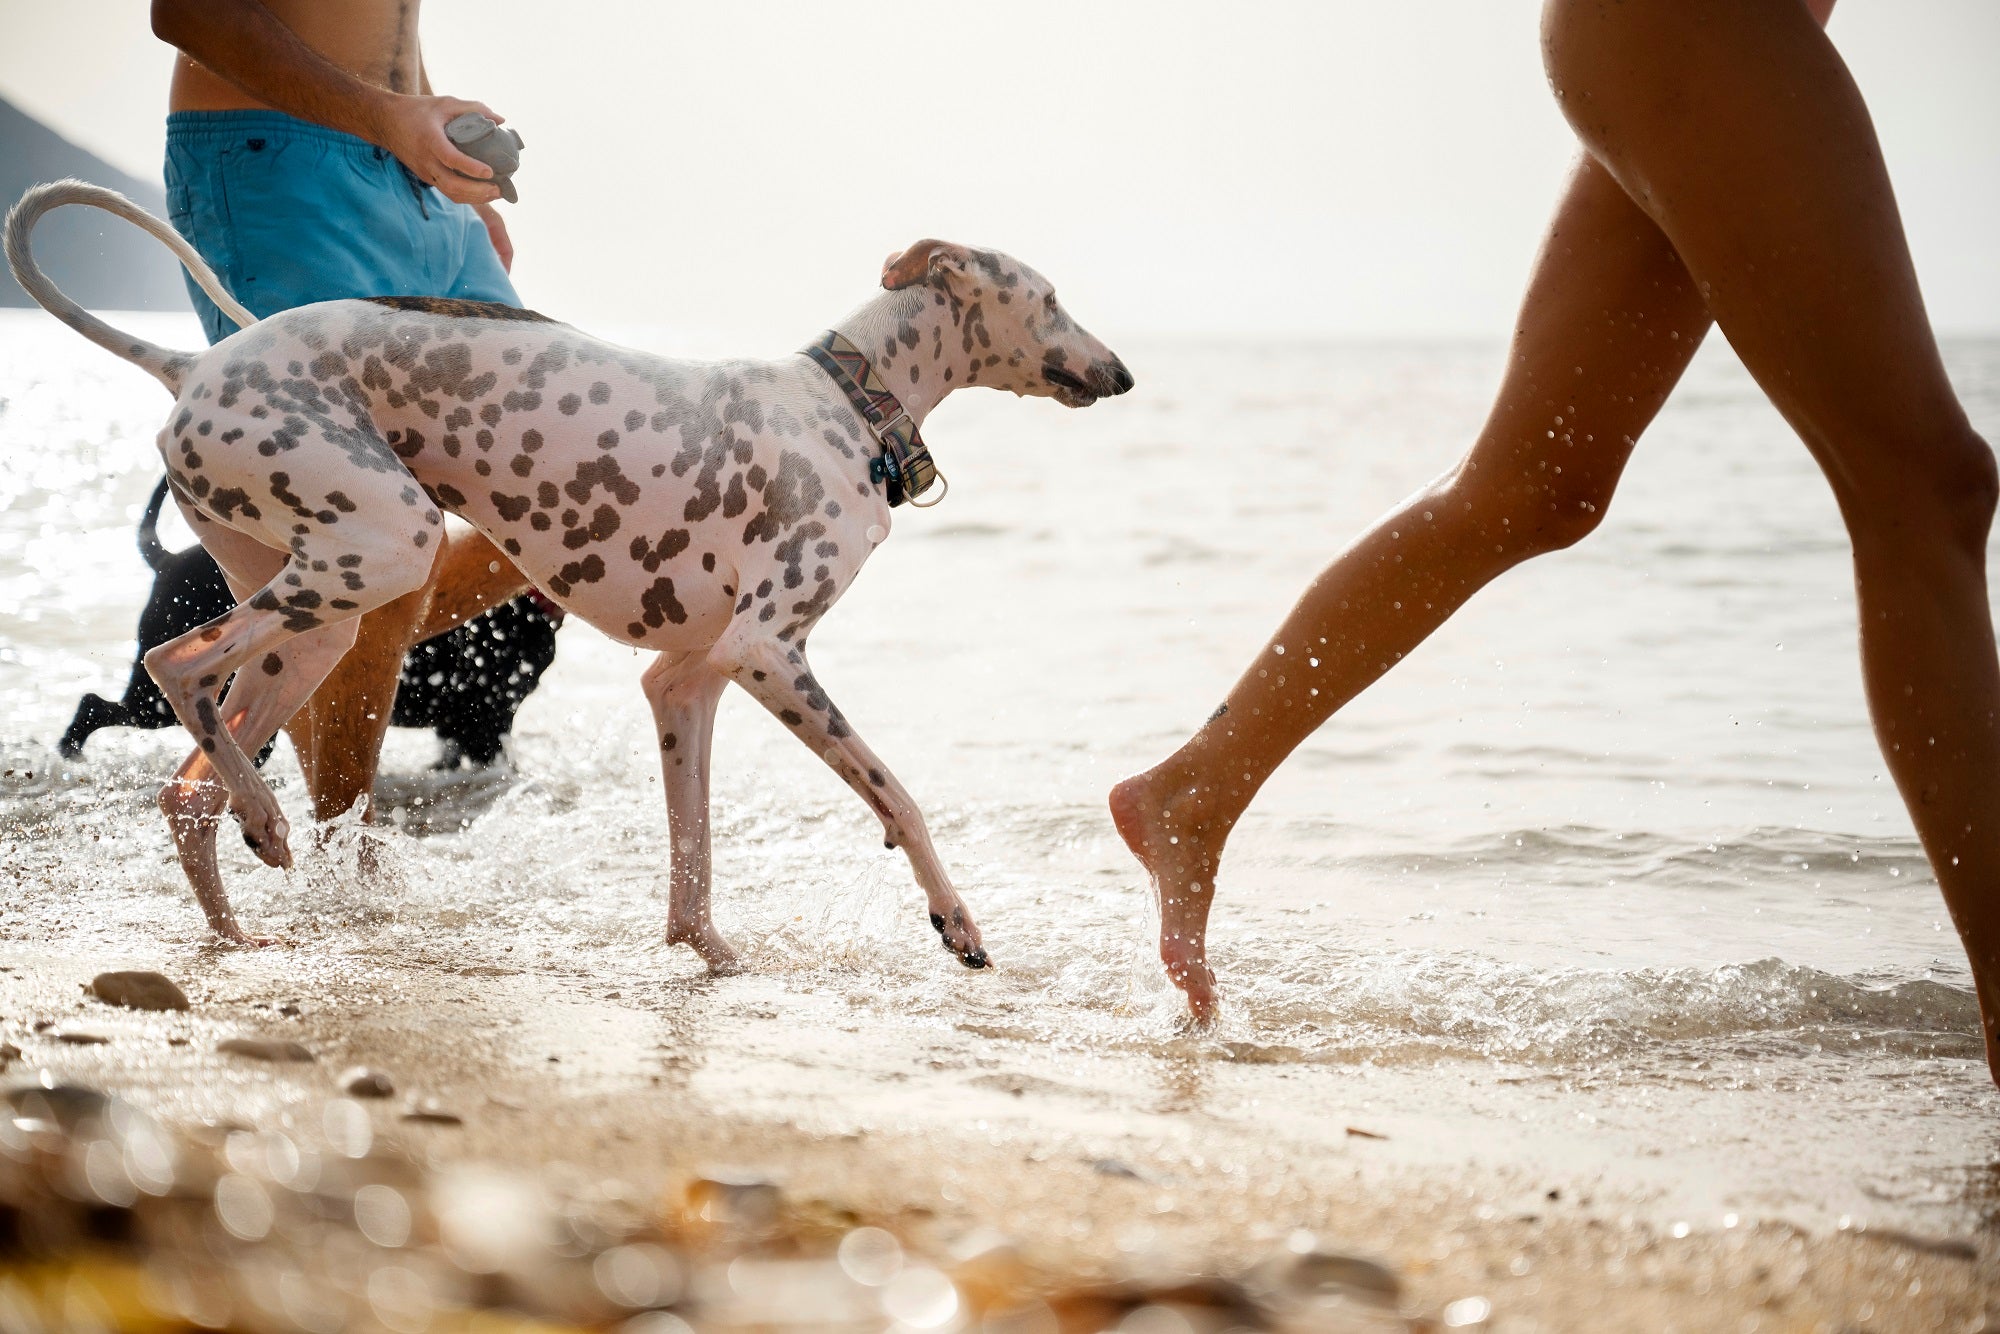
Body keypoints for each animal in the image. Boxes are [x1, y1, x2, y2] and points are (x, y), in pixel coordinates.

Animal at [61, 482, 560, 772]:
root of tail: (166, 562)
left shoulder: (467, 727)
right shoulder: (485, 719)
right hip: (157, 700)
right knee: (94, 704)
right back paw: (70, 750)